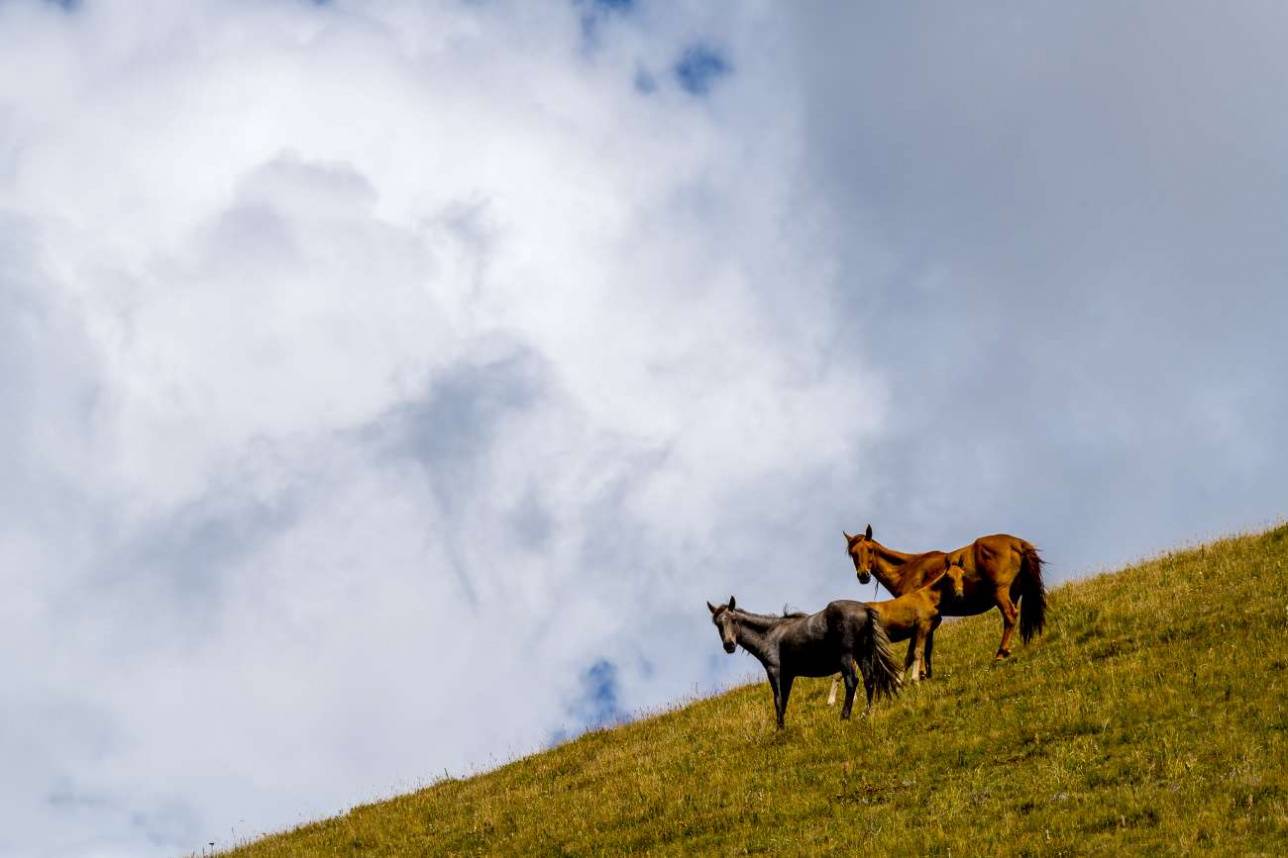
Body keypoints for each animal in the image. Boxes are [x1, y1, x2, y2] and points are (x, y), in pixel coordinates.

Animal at [710, 595, 901, 726]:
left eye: (734, 620)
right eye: (718, 624)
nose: (729, 645)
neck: (771, 635)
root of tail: (864, 609)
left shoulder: (775, 671)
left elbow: (778, 700)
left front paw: (779, 731)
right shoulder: (788, 675)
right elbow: (784, 701)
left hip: (847, 657)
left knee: (852, 682)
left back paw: (844, 716)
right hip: (863, 655)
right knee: (870, 680)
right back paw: (866, 713)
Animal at [829, 553, 963, 700]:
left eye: (963, 575)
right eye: (949, 577)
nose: (959, 594)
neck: (928, 597)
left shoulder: (915, 632)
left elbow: (909, 656)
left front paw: (899, 683)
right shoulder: (922, 627)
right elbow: (918, 652)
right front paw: (915, 681)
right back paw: (832, 701)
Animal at [844, 520, 1045, 669]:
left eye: (870, 550)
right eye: (853, 553)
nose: (863, 575)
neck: (908, 569)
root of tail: (1016, 543)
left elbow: (917, 647)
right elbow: (927, 646)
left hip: (1000, 592)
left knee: (1010, 616)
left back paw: (1000, 654)